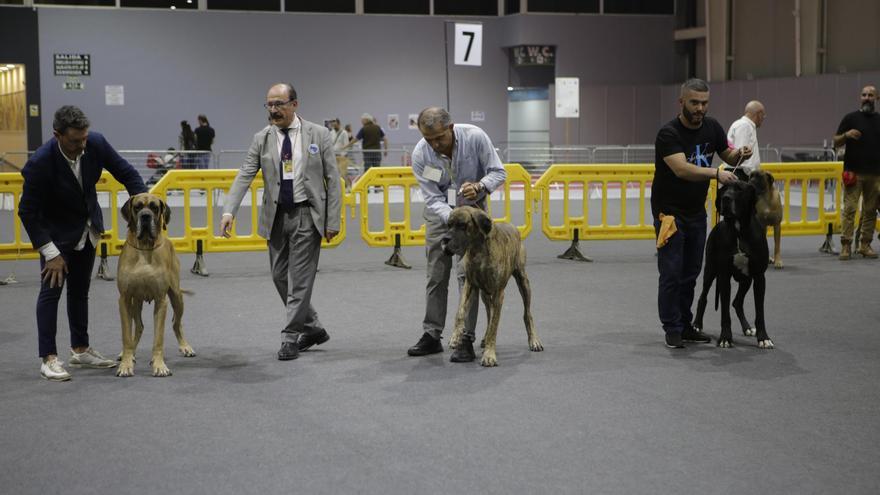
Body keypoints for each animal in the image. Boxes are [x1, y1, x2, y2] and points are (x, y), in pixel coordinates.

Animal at [117, 192, 194, 378]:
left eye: (154, 207)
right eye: (137, 207)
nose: (145, 216)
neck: (144, 248)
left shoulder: (161, 300)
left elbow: (158, 338)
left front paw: (159, 365)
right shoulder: (124, 299)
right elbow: (126, 335)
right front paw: (126, 364)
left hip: (177, 296)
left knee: (176, 323)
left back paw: (185, 346)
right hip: (135, 302)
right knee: (138, 327)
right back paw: (130, 353)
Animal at [440, 206, 544, 368]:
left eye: (462, 225)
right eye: (449, 225)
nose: (445, 239)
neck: (478, 249)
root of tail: (512, 226)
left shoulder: (498, 293)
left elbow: (494, 326)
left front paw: (489, 355)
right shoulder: (470, 285)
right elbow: (460, 312)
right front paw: (456, 336)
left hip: (523, 282)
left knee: (527, 314)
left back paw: (534, 340)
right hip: (484, 294)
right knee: (489, 314)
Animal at [692, 178, 772, 348]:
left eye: (740, 189)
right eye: (724, 189)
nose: (726, 198)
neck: (739, 230)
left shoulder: (759, 277)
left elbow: (760, 312)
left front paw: (763, 337)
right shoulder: (724, 276)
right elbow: (724, 312)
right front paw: (725, 338)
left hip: (746, 279)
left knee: (737, 302)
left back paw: (747, 328)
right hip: (710, 270)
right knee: (703, 297)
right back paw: (696, 325)